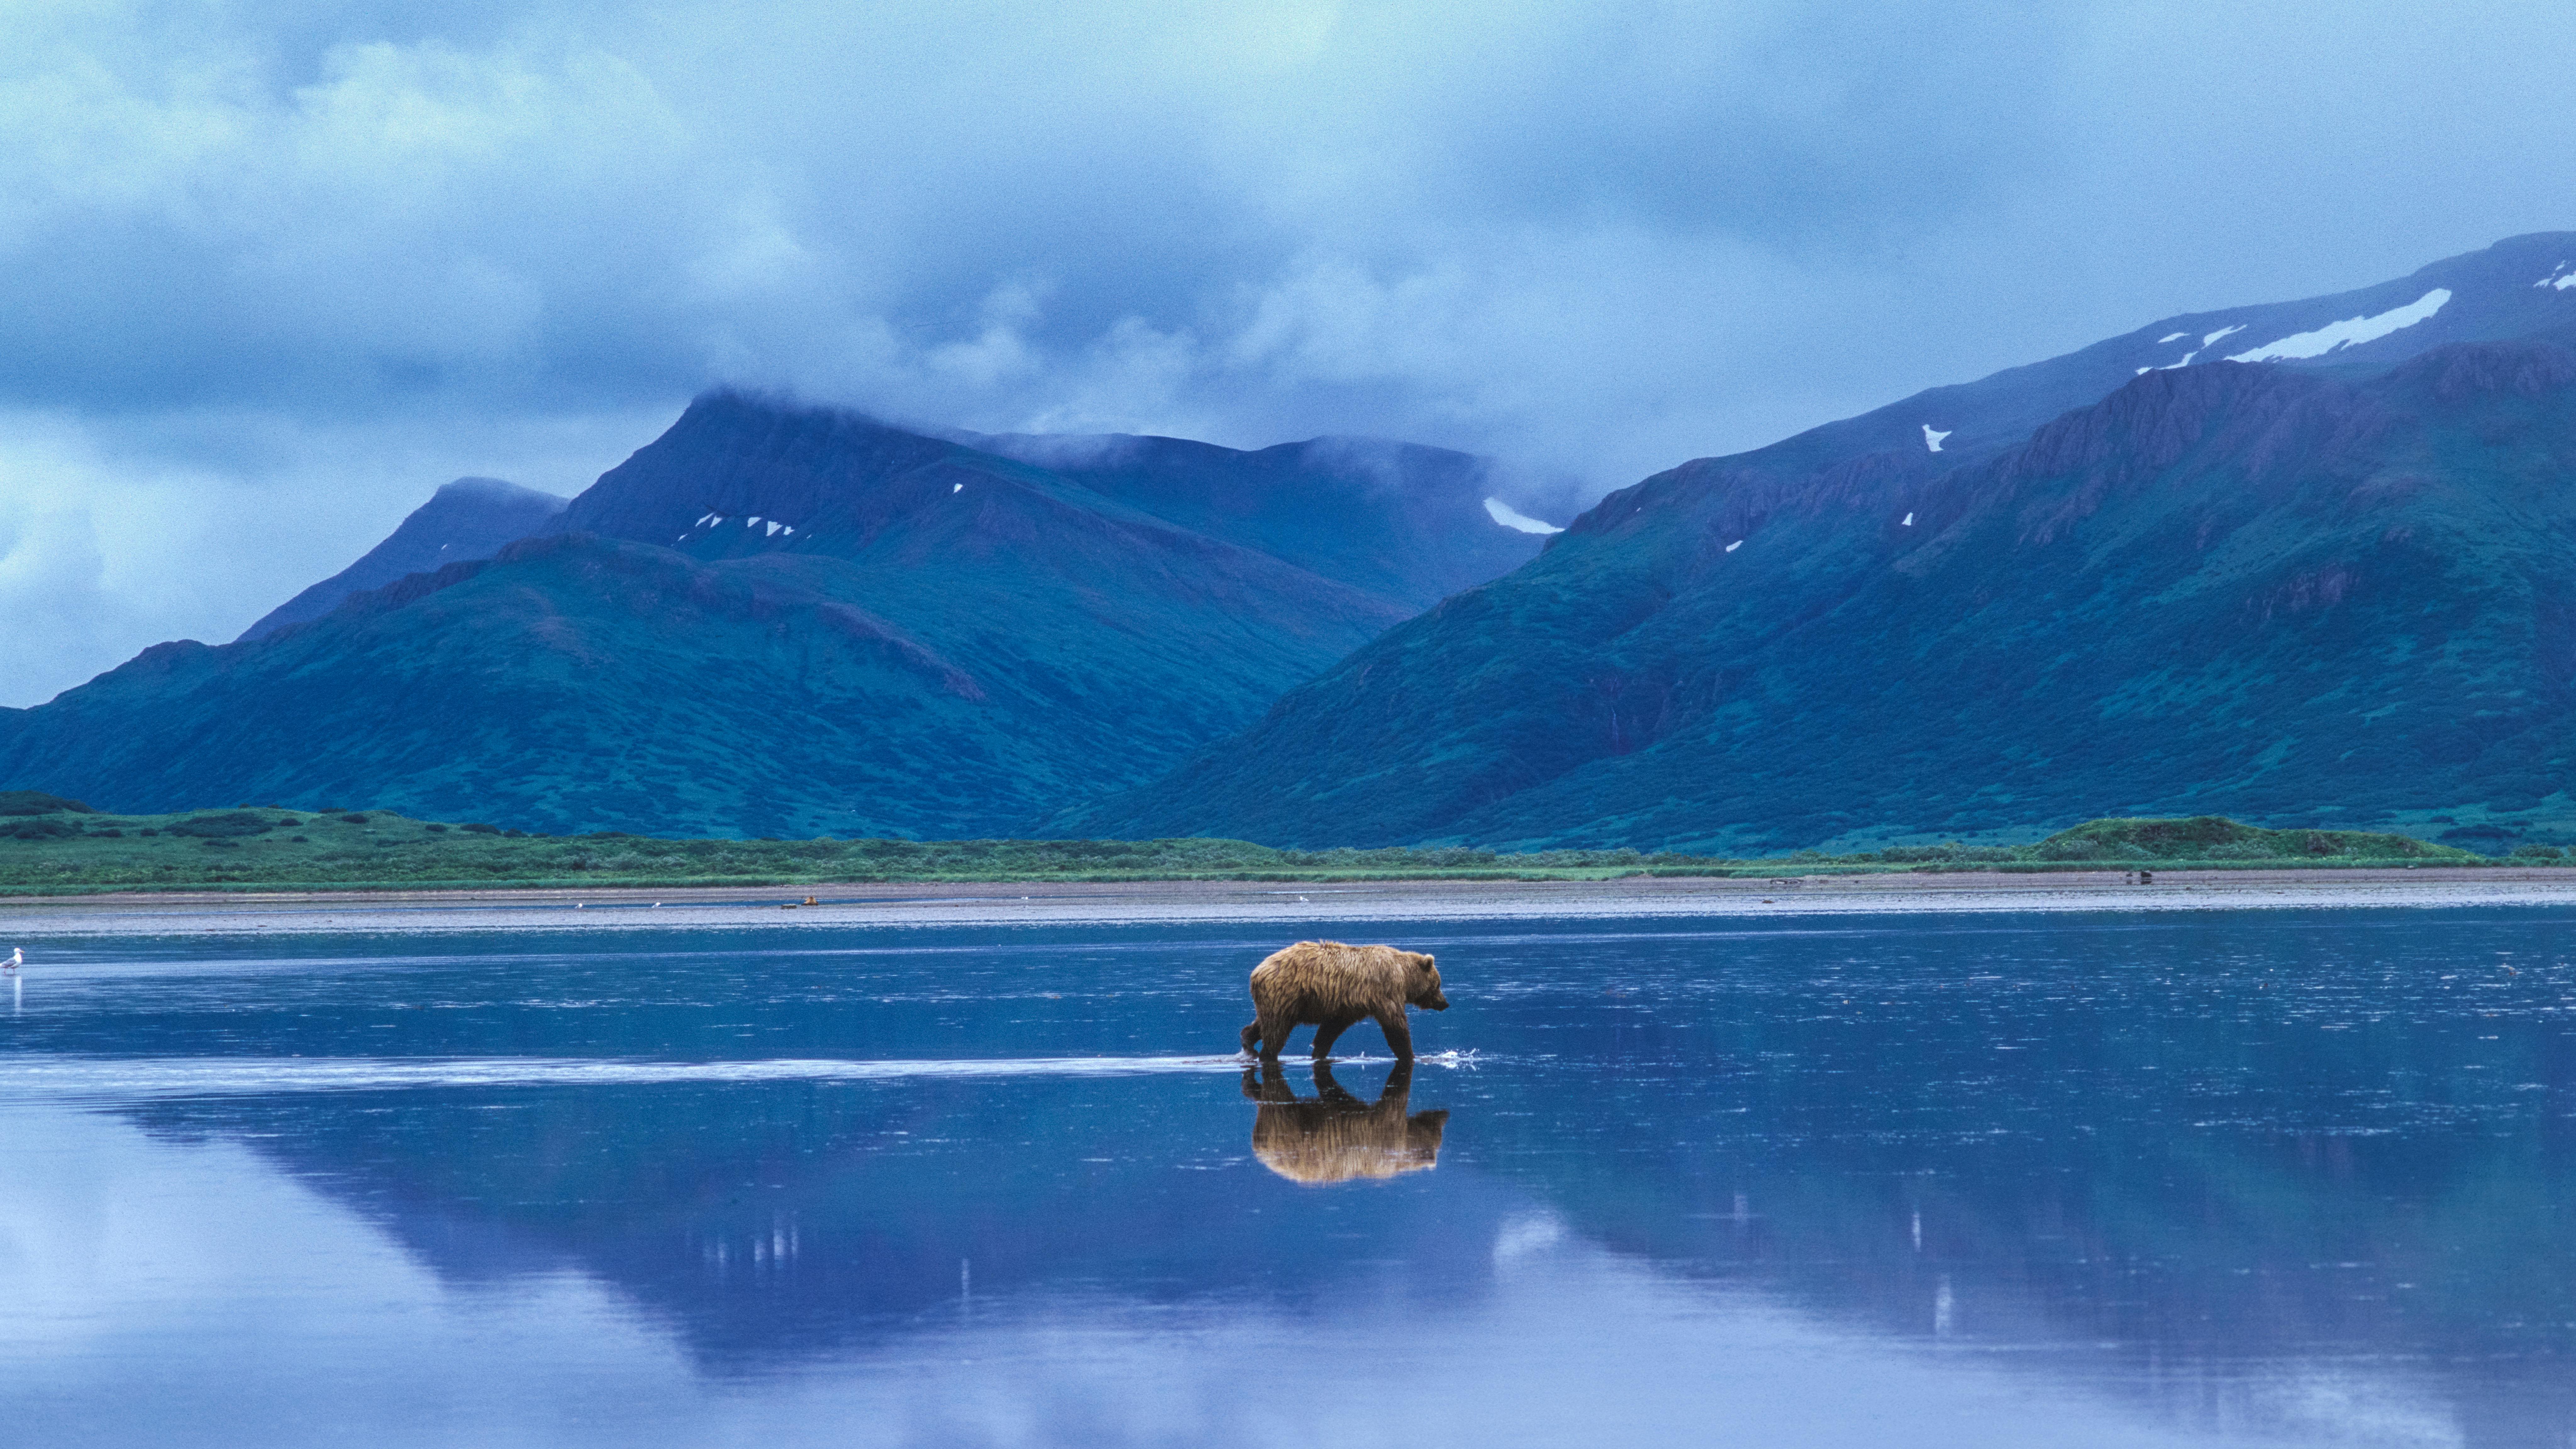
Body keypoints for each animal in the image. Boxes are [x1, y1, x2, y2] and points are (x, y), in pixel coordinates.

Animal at [1238, 939, 1447, 1062]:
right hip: (1285, 994)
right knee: (1276, 1030)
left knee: (1264, 1022)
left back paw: (1248, 1042)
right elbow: (1395, 1025)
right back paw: (1267, 1055)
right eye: (1438, 984)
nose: (1445, 1003)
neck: (1405, 975)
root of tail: (1258, 971)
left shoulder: (1348, 1006)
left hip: (1279, 1001)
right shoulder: (1385, 991)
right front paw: (1411, 1055)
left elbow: (1330, 1029)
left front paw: (1319, 1052)